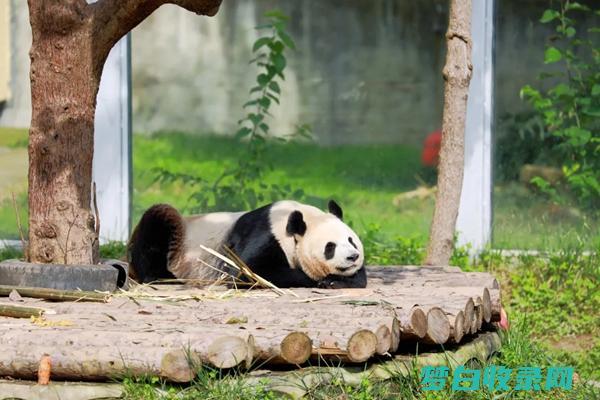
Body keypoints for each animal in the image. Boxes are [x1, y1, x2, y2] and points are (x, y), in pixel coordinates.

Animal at [127, 202, 366, 290]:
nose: (353, 256)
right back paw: (160, 275)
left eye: (351, 240)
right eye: (330, 246)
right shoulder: (263, 234)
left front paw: (338, 280)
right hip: (179, 236)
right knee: (158, 221)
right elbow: (251, 272)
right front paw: (319, 279)